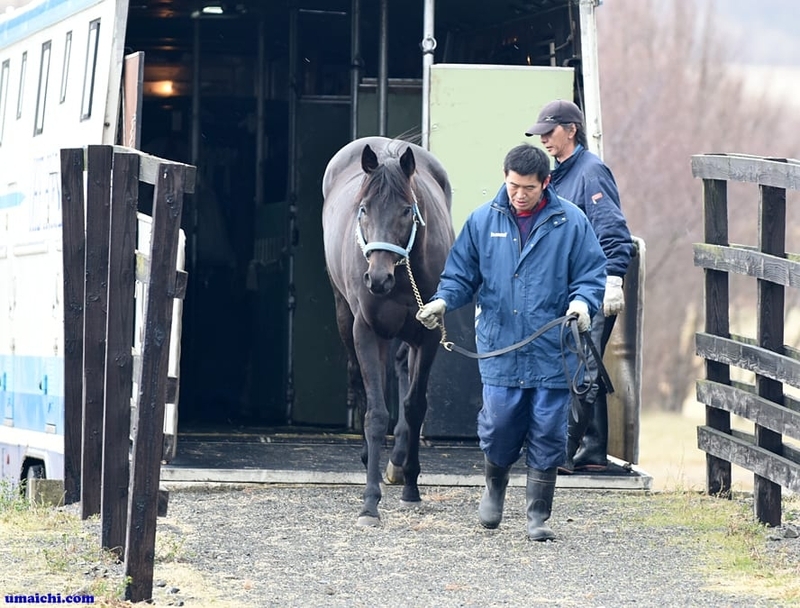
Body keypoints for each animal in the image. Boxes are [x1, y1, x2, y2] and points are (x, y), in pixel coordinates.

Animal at [321, 136, 455, 526]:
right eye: (363, 209)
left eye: (408, 210)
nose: (377, 279)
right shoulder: (366, 331)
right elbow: (377, 413)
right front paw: (370, 503)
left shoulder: (428, 335)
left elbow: (414, 406)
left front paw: (411, 487)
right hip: (345, 316)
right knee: (360, 381)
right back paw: (372, 458)